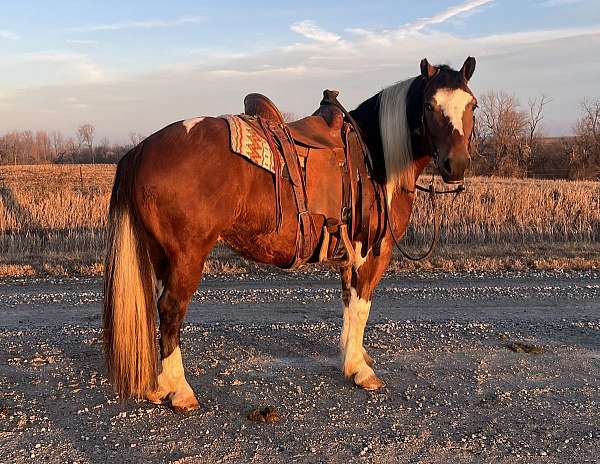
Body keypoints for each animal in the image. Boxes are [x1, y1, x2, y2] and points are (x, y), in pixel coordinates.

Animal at [102, 57, 478, 410]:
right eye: (429, 105)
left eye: (472, 105)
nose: (456, 165)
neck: (375, 157)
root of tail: (142, 149)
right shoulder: (372, 253)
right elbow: (362, 307)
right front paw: (359, 369)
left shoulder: (350, 256)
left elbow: (348, 304)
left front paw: (351, 356)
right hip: (186, 256)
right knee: (171, 309)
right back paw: (180, 391)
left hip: (160, 254)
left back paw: (159, 385)